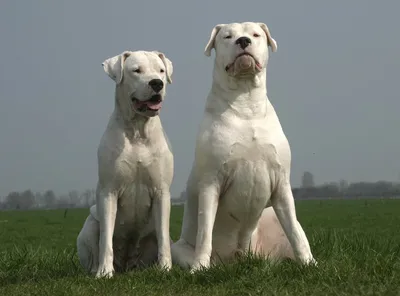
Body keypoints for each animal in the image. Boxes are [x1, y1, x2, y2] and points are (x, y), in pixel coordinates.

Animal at [76, 49, 173, 278]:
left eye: (161, 70)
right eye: (136, 70)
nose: (157, 83)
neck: (137, 130)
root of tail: (128, 265)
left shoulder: (162, 191)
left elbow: (164, 236)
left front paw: (166, 268)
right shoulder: (109, 191)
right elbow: (105, 239)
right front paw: (104, 272)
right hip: (90, 224)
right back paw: (96, 270)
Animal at [170, 21, 318, 272]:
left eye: (255, 34)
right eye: (227, 36)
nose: (243, 41)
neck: (246, 102)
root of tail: (237, 259)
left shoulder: (281, 183)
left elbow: (295, 232)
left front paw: (310, 264)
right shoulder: (210, 183)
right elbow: (204, 233)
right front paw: (199, 268)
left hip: (271, 216)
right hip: (176, 248)